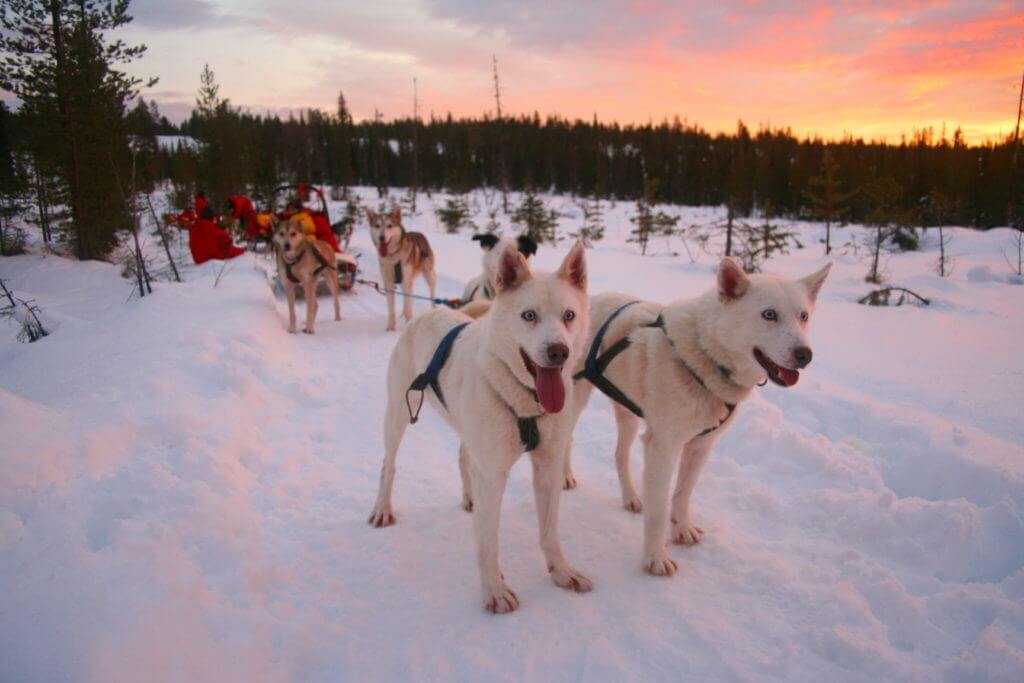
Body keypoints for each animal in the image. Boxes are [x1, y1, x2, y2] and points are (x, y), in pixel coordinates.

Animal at [368, 240, 593, 614]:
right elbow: (488, 543)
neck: (525, 401)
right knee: (388, 464)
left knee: (463, 457)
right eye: (529, 315)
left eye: (569, 315)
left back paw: (469, 496)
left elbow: (549, 531)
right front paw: (495, 591)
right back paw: (382, 509)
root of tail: (424, 315)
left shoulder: (547, 467)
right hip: (397, 416)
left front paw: (562, 571)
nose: (559, 351)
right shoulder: (493, 475)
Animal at [561, 259, 831, 573]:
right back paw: (565, 477)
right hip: (574, 401)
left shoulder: (701, 446)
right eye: (769, 314)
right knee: (568, 440)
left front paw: (682, 529)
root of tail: (588, 301)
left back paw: (630, 497)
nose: (805, 354)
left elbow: (683, 494)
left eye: (803, 316)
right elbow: (659, 510)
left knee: (620, 455)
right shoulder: (662, 449)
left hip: (627, 412)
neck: (704, 355)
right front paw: (656, 558)